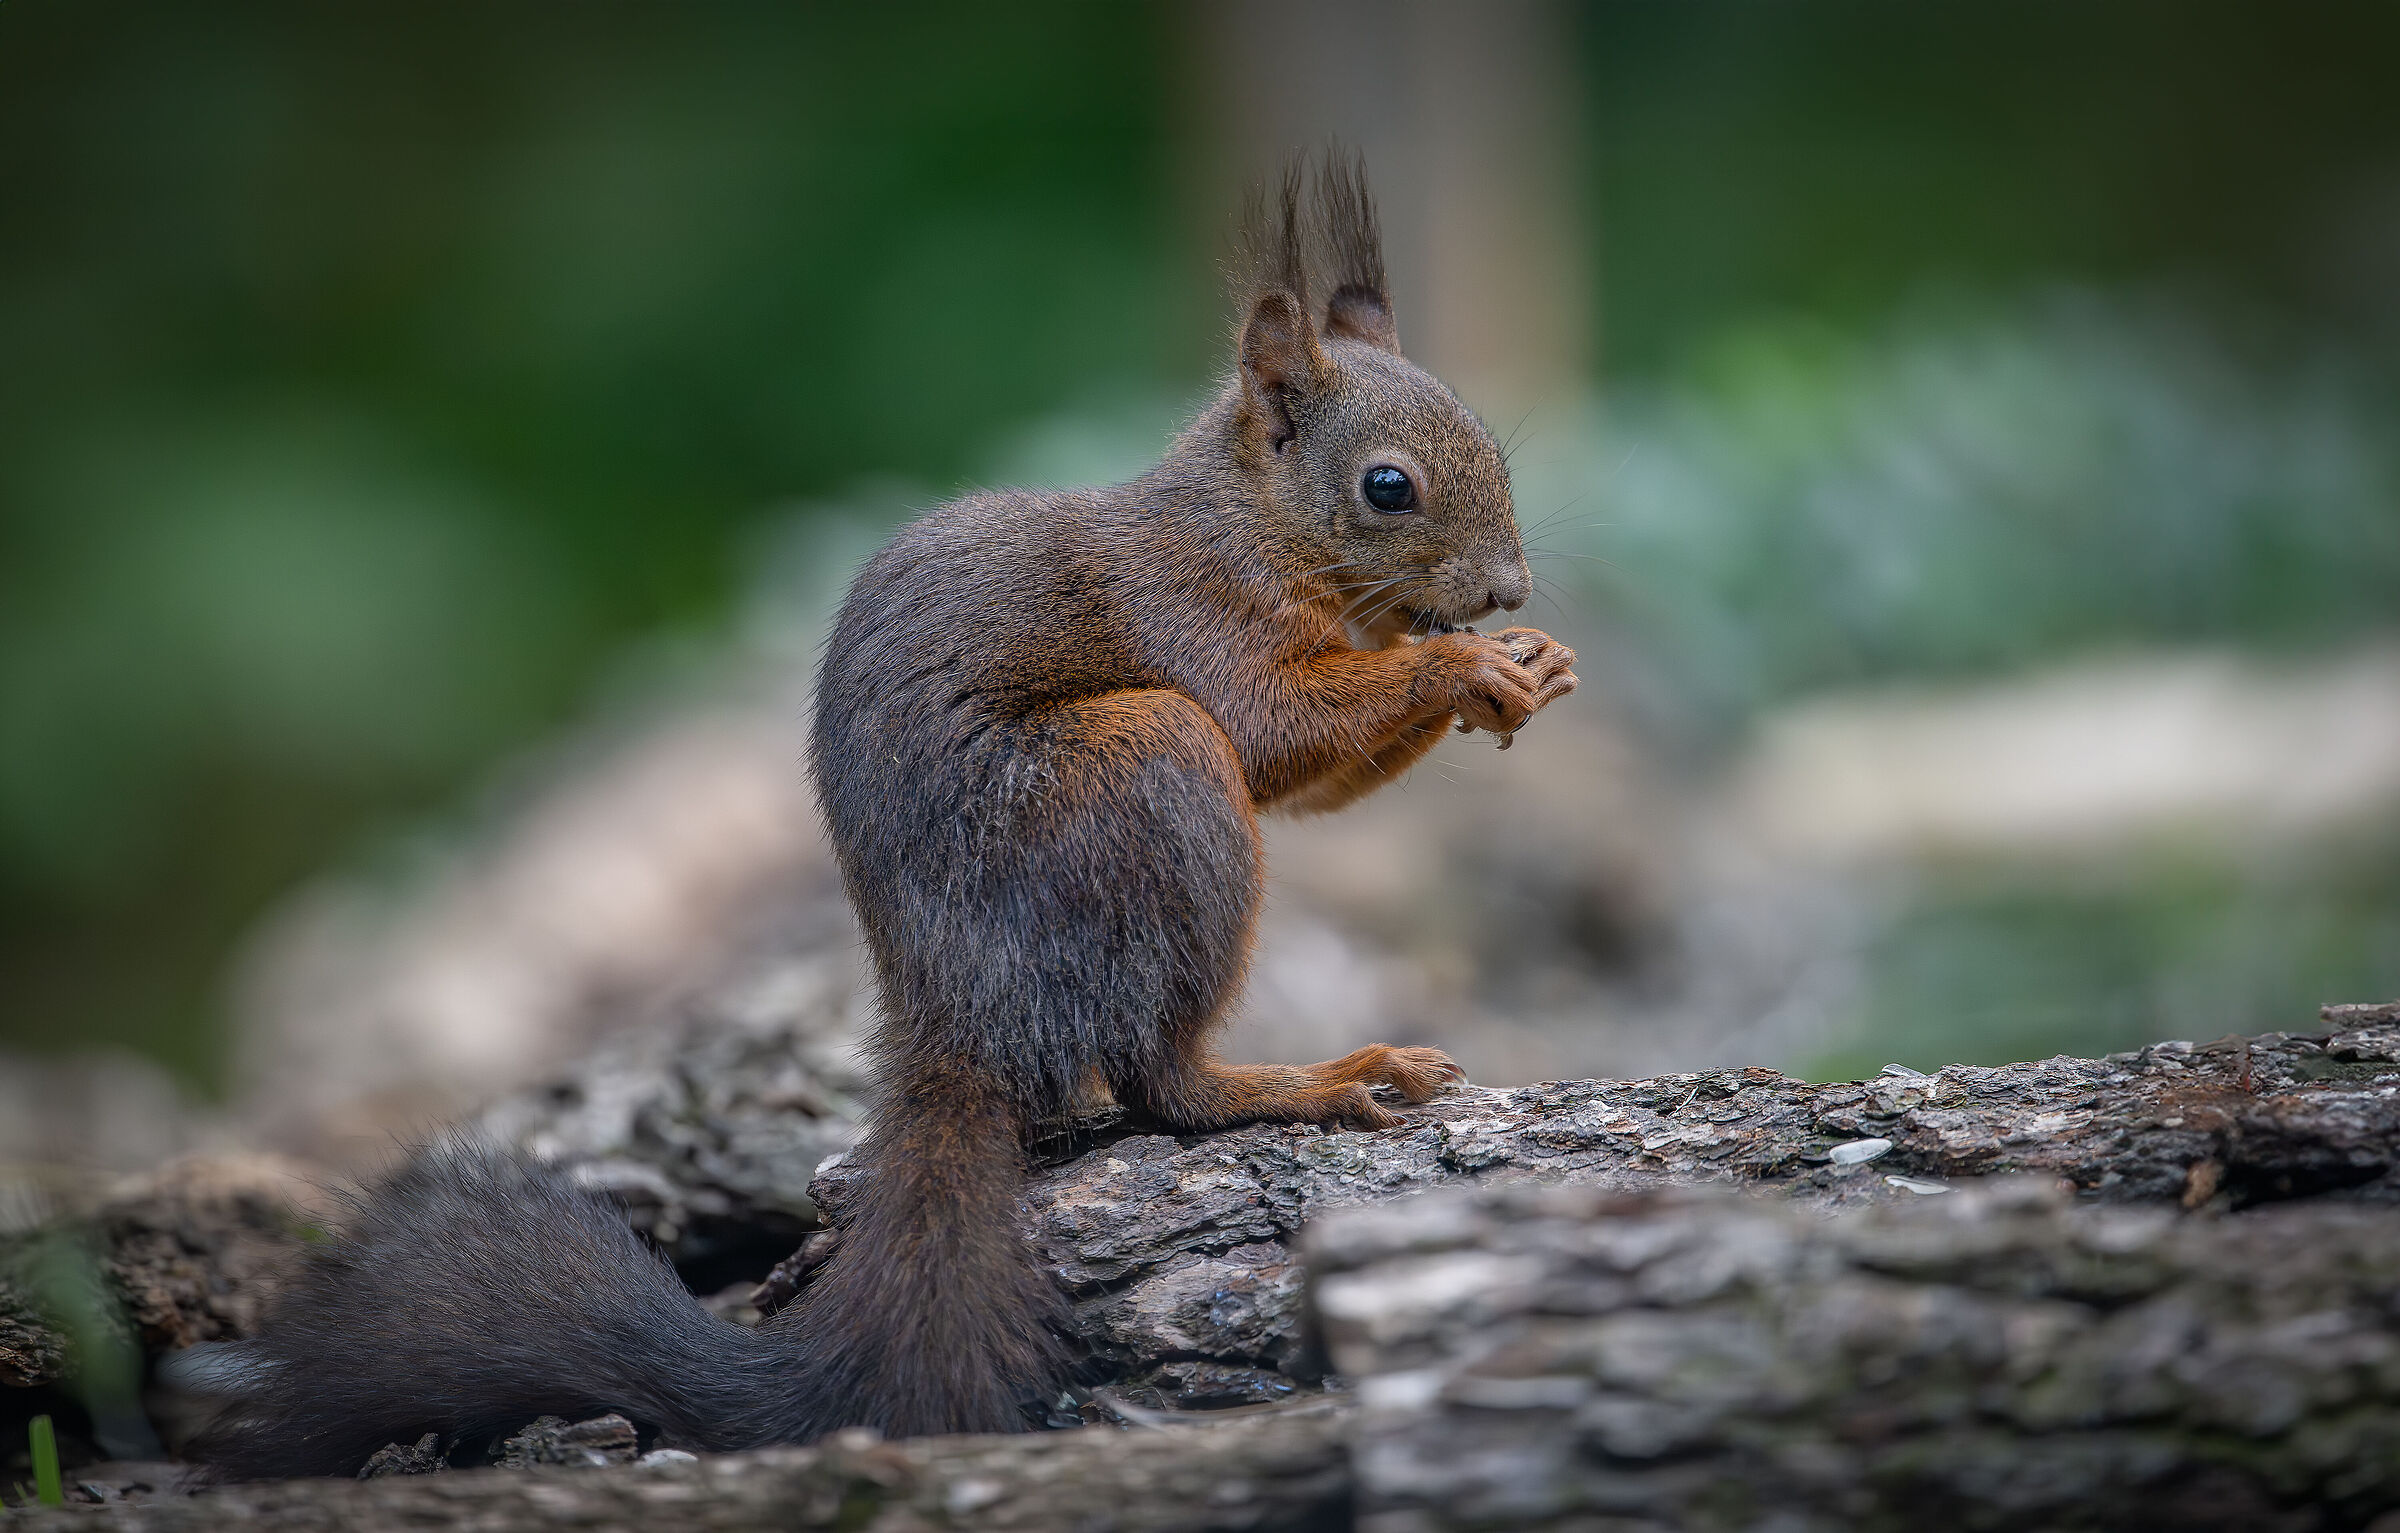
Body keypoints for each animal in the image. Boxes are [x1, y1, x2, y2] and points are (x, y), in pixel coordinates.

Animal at [185, 153, 1577, 1479]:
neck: (1253, 529)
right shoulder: (1198, 622)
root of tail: (960, 1011)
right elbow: (1279, 732)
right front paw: (1462, 667)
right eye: (1387, 487)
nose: (1508, 589)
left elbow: (1324, 779)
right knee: (1161, 1080)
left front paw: (1533, 666)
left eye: (1495, 449)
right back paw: (1317, 1081)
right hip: (1145, 771)